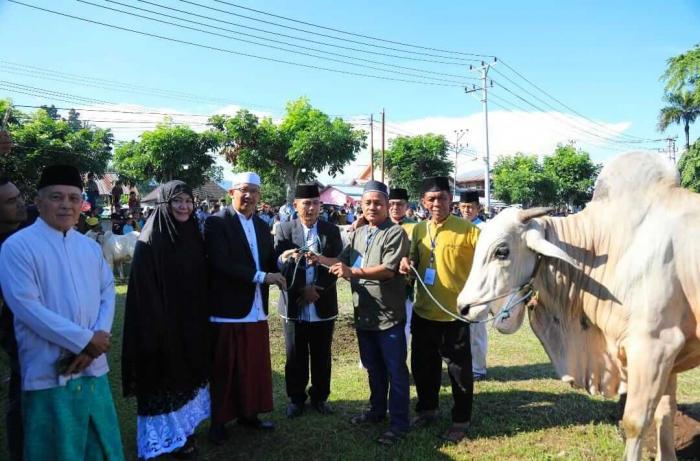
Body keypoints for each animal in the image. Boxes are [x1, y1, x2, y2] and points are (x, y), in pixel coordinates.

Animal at [456, 152, 696, 460]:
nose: (463, 307)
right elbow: (664, 414)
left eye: (501, 251)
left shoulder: (655, 347)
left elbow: (636, 422)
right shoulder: (670, 356)